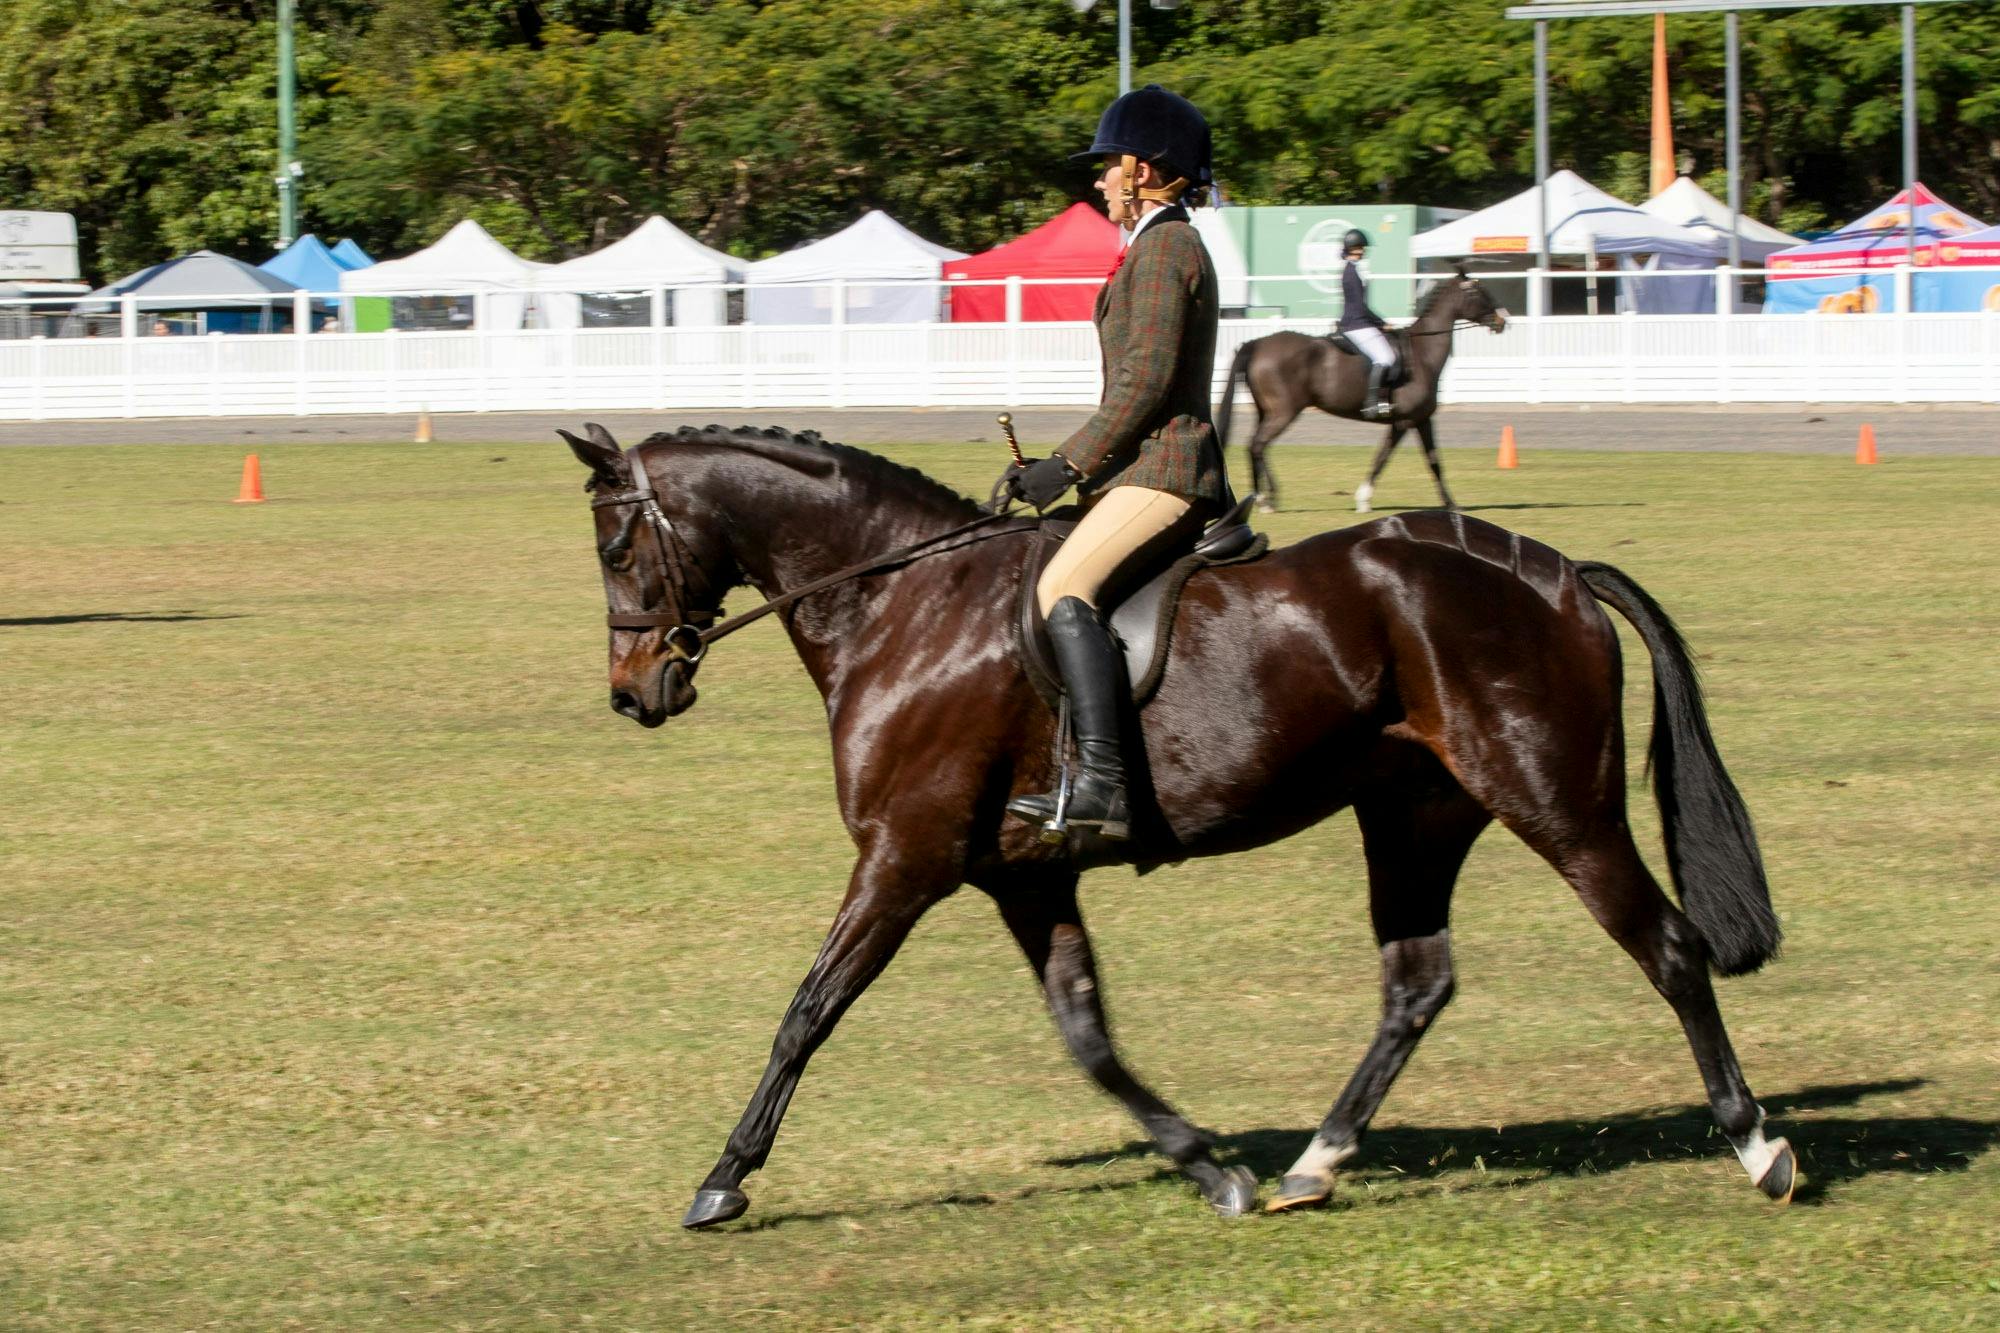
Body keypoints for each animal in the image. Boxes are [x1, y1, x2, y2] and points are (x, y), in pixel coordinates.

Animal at [561, 421, 1798, 1231]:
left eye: (616, 548)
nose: (632, 694)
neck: (899, 606)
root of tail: (1557, 575)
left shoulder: (902, 859)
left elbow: (805, 1013)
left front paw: (723, 1178)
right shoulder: (1023, 877)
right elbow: (1085, 1032)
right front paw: (1212, 1169)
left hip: (1555, 803)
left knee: (1666, 948)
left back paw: (1758, 1147)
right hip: (1412, 816)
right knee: (1415, 982)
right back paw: (1310, 1165)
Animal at [1215, 268, 1507, 515]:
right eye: (1477, 292)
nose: (1501, 321)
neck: (1421, 356)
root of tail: (1257, 343)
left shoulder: (1422, 420)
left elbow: (1431, 461)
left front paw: (1450, 504)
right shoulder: (1403, 422)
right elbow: (1386, 458)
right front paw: (1364, 500)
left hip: (1266, 411)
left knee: (1255, 446)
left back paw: (1261, 498)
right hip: (1283, 412)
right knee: (1258, 444)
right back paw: (1266, 499)